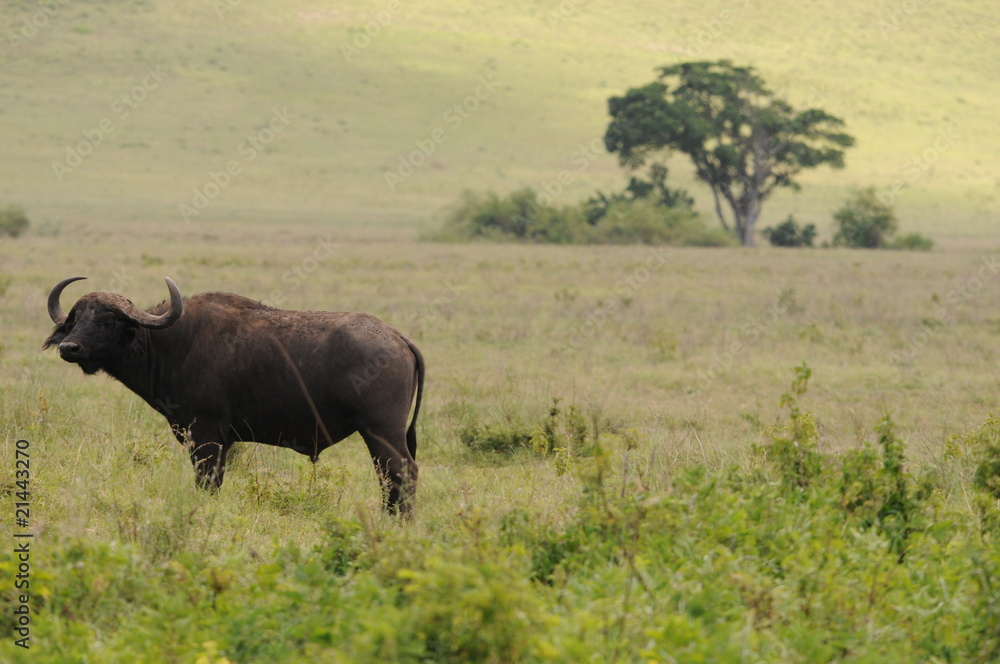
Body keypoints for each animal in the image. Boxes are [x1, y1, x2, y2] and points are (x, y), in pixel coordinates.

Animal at [44, 278, 422, 516]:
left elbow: (206, 482)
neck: (173, 343)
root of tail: (397, 337)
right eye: (76, 318)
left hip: (381, 433)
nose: (69, 347)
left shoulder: (205, 437)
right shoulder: (223, 443)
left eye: (107, 321)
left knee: (400, 474)